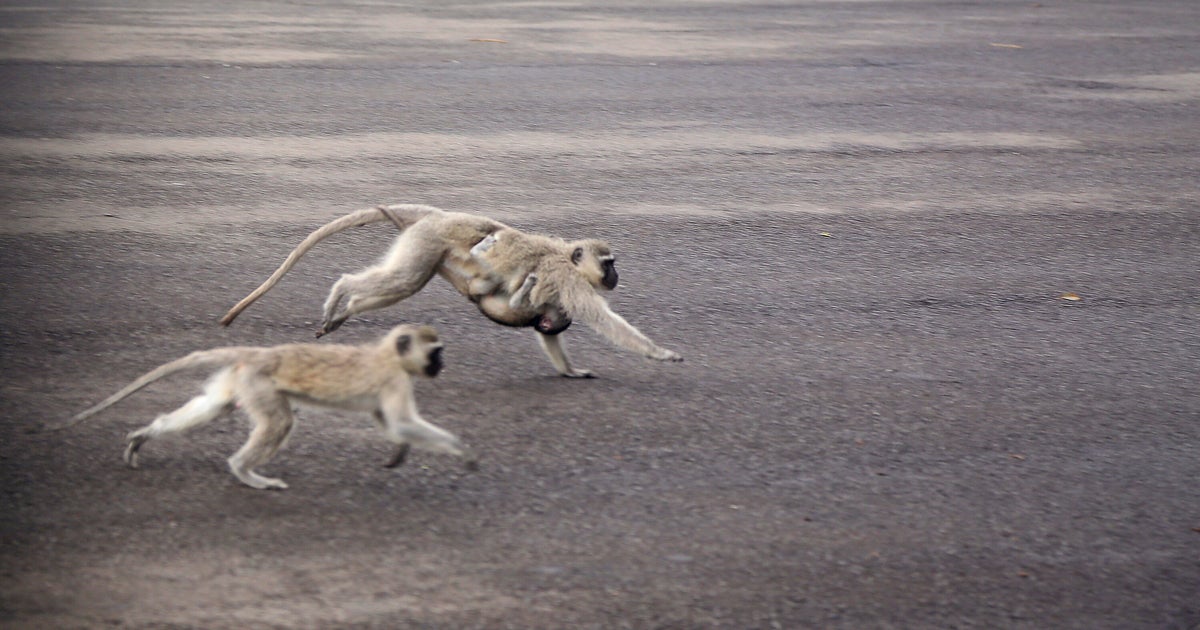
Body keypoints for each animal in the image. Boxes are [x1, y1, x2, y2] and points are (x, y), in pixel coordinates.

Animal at [57, 324, 477, 490]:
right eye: (435, 353)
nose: (441, 366)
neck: (388, 354)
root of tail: (257, 353)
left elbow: (392, 424)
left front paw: (399, 452)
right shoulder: (394, 379)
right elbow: (403, 421)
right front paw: (462, 450)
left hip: (240, 380)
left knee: (215, 405)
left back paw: (145, 435)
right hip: (259, 384)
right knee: (279, 422)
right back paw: (245, 471)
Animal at [219, 204, 682, 378]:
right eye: (609, 263)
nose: (615, 276)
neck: (565, 256)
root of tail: (439, 216)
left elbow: (547, 330)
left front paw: (569, 370)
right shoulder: (566, 280)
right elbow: (603, 319)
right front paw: (660, 353)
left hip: (429, 249)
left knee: (403, 284)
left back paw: (343, 311)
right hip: (428, 243)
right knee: (395, 280)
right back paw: (341, 295)